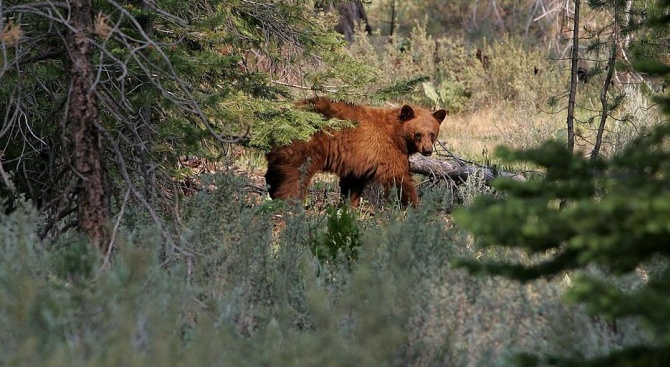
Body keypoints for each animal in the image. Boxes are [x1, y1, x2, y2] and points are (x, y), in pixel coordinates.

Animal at [266, 97, 448, 207]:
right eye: (418, 134)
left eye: (432, 134)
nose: (427, 151)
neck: (397, 134)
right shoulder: (386, 151)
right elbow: (399, 178)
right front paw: (412, 206)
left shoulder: (358, 159)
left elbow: (352, 183)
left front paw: (348, 206)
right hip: (304, 146)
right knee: (294, 177)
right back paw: (289, 202)